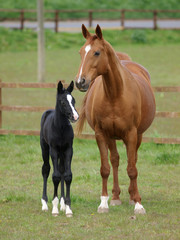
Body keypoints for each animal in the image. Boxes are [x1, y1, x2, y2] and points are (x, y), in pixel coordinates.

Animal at [40, 81, 78, 218]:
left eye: (73, 100)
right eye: (62, 102)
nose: (75, 116)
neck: (60, 128)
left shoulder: (68, 150)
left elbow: (67, 175)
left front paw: (68, 208)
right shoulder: (54, 150)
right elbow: (55, 176)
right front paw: (55, 208)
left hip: (62, 153)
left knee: (61, 170)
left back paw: (62, 203)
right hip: (45, 149)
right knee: (46, 169)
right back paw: (45, 204)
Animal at [75, 24, 155, 214]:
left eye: (96, 52)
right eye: (81, 52)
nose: (80, 82)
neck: (115, 95)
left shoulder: (132, 134)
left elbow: (132, 169)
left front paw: (138, 204)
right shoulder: (101, 134)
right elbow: (105, 168)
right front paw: (103, 203)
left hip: (137, 136)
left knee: (132, 160)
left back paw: (132, 196)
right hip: (112, 137)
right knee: (116, 160)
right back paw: (116, 197)